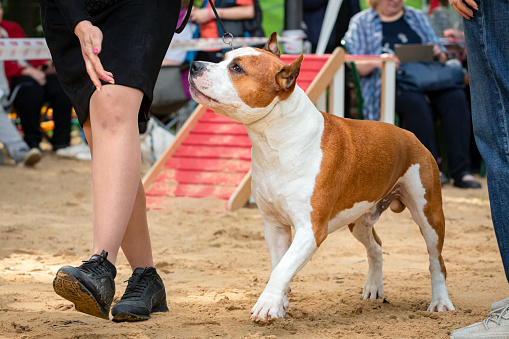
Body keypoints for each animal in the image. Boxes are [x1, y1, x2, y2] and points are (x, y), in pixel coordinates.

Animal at [189, 33, 454, 322]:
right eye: (224, 58)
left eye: (236, 68)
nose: (194, 65)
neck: (275, 140)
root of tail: (411, 135)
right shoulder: (274, 225)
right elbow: (279, 265)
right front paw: (280, 303)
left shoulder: (311, 229)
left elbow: (282, 268)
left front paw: (267, 305)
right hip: (358, 219)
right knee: (376, 246)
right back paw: (374, 287)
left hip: (429, 214)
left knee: (436, 260)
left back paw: (440, 302)